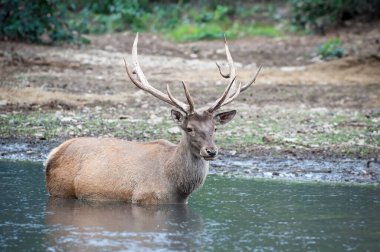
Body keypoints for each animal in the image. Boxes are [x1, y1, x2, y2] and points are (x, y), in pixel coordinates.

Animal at [43, 33, 258, 204]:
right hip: (60, 191)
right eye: (189, 128)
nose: (211, 151)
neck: (177, 188)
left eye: (215, 128)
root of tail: (54, 152)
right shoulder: (146, 199)